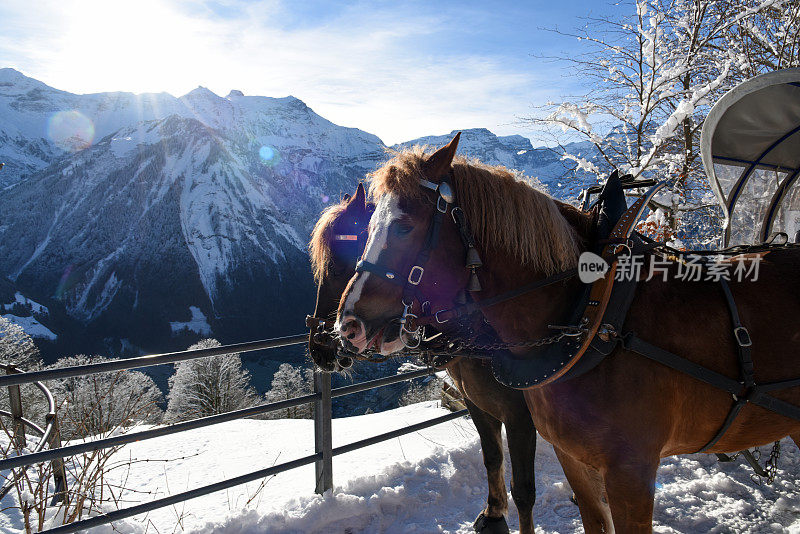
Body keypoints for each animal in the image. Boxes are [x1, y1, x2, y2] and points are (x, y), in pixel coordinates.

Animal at [310, 183, 536, 532]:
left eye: (335, 264)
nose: (319, 346)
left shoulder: (520, 415)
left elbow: (524, 486)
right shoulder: (477, 402)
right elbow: (492, 455)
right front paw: (494, 514)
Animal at [338, 136, 800, 532]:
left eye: (403, 226)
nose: (349, 325)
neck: (590, 315)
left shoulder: (629, 471)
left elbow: (525, 489)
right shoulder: (568, 453)